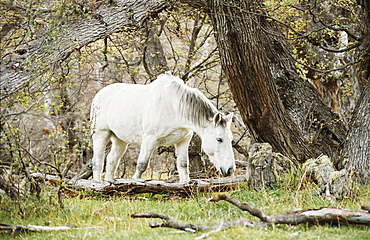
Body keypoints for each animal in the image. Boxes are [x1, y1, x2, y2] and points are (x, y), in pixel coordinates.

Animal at [90, 72, 234, 183]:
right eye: (219, 139)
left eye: (231, 139)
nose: (230, 170)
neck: (173, 106)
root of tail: (99, 95)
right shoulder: (150, 140)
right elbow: (141, 165)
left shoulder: (183, 140)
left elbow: (183, 164)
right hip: (101, 134)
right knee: (98, 162)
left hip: (120, 140)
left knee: (111, 160)